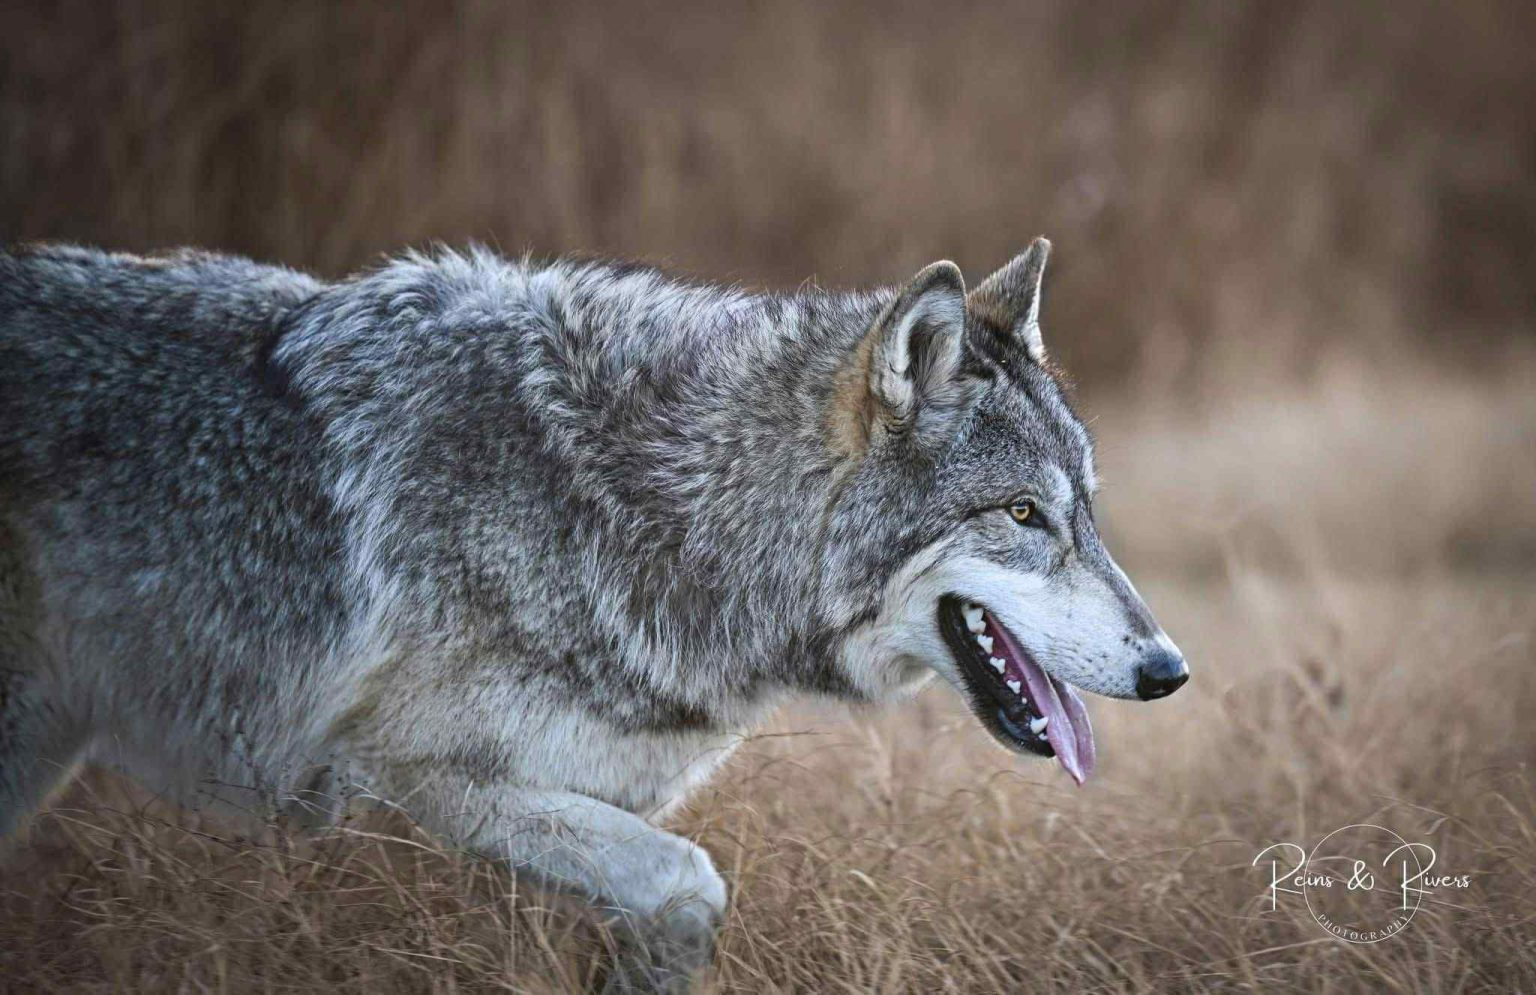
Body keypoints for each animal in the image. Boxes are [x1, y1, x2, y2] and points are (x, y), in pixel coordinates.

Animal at [0, 237, 1186, 991]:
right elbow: (690, 880)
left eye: (1085, 510)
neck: (648, 502)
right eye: (1023, 513)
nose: (1169, 669)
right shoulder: (424, 773)